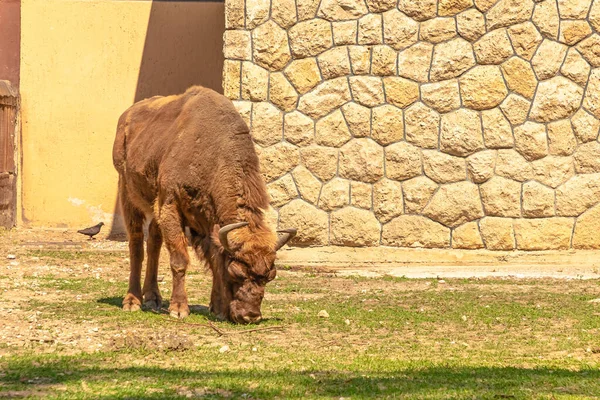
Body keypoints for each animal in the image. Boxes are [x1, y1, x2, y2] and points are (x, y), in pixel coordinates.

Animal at [112, 86, 296, 324]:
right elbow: (180, 260)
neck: (213, 153)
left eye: (271, 275)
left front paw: (217, 308)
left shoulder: (209, 221)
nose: (250, 316)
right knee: (136, 245)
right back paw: (132, 301)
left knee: (153, 241)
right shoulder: (170, 205)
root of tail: (126, 116)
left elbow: (214, 260)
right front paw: (179, 309)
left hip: (154, 206)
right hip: (128, 194)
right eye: (237, 272)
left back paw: (153, 299)